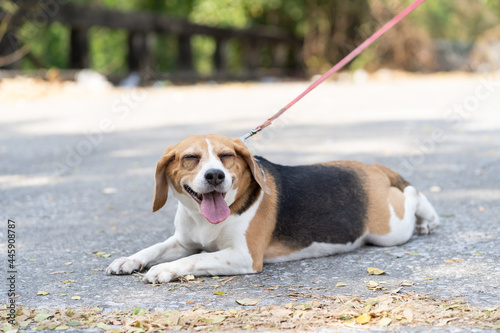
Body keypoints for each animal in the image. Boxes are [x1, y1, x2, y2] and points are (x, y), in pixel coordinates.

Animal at [107, 134, 440, 282]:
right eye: (190, 158)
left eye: (227, 156)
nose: (215, 176)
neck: (205, 220)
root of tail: (371, 167)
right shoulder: (183, 241)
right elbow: (154, 248)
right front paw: (128, 260)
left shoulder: (244, 257)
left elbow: (195, 259)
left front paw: (164, 270)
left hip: (389, 230)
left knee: (412, 194)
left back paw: (428, 220)